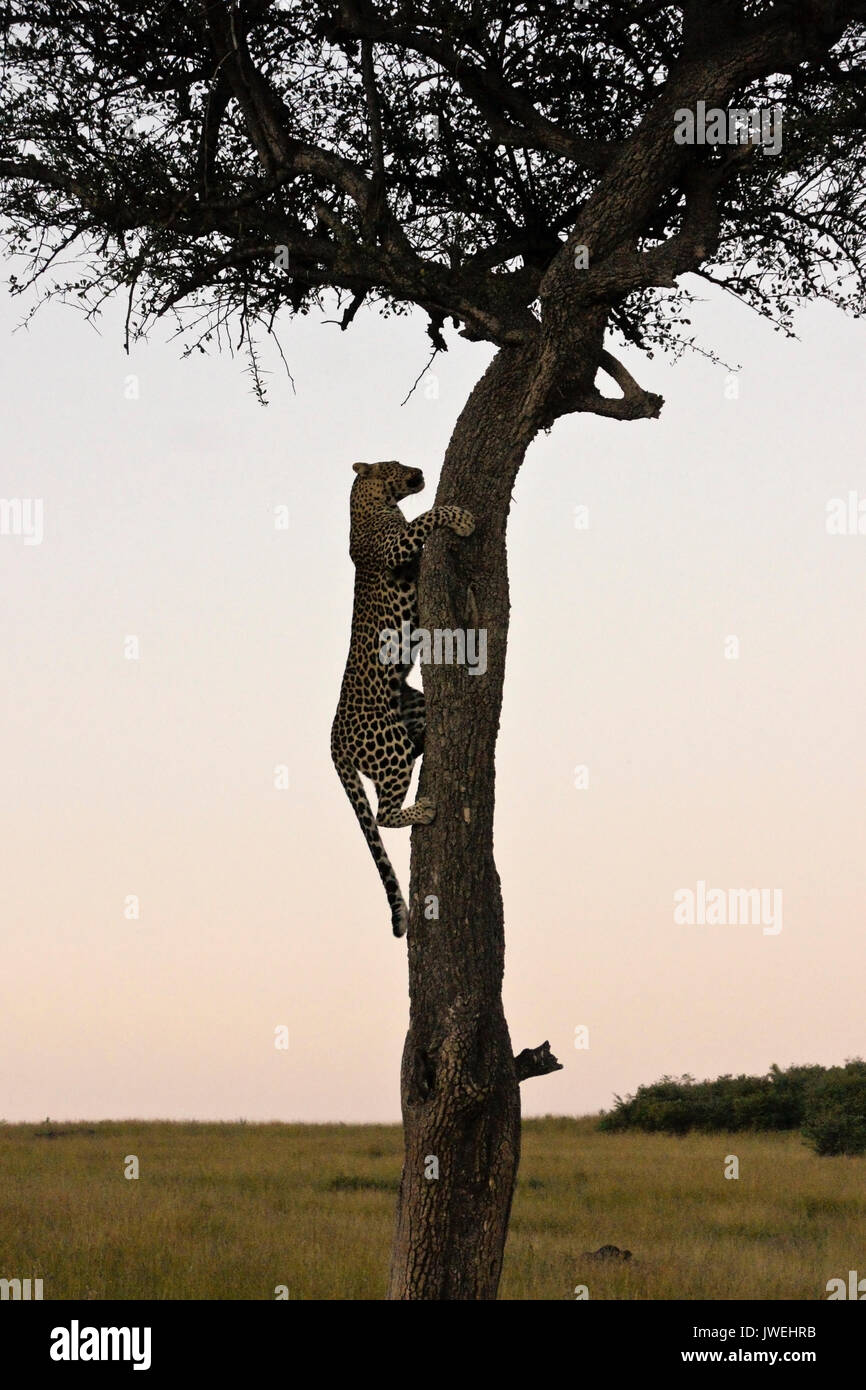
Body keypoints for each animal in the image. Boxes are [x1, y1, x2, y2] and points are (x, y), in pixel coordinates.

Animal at [331, 460, 475, 937]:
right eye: (395, 465)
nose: (420, 470)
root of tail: (334, 740)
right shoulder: (396, 547)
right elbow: (427, 517)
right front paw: (462, 517)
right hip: (388, 744)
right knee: (381, 815)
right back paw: (424, 810)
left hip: (408, 718)